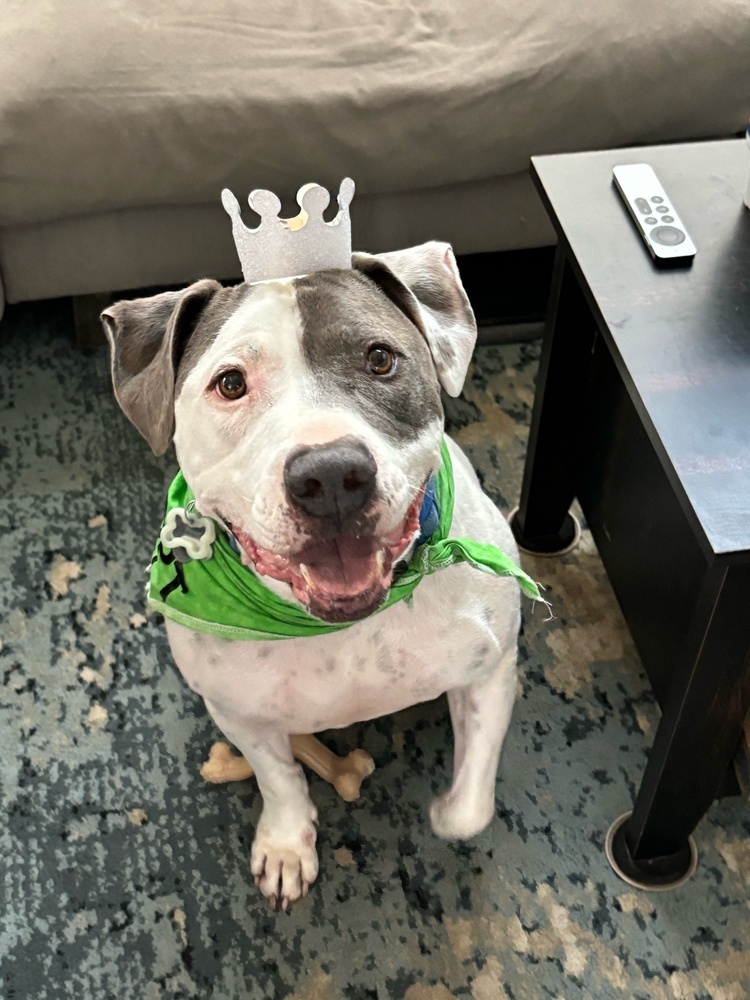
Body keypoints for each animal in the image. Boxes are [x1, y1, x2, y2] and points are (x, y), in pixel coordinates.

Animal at [103, 240, 528, 908]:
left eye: (380, 358)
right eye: (231, 383)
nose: (330, 474)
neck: (337, 625)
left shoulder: (491, 668)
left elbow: (469, 811)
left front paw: (441, 812)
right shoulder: (237, 710)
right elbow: (278, 775)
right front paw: (285, 844)